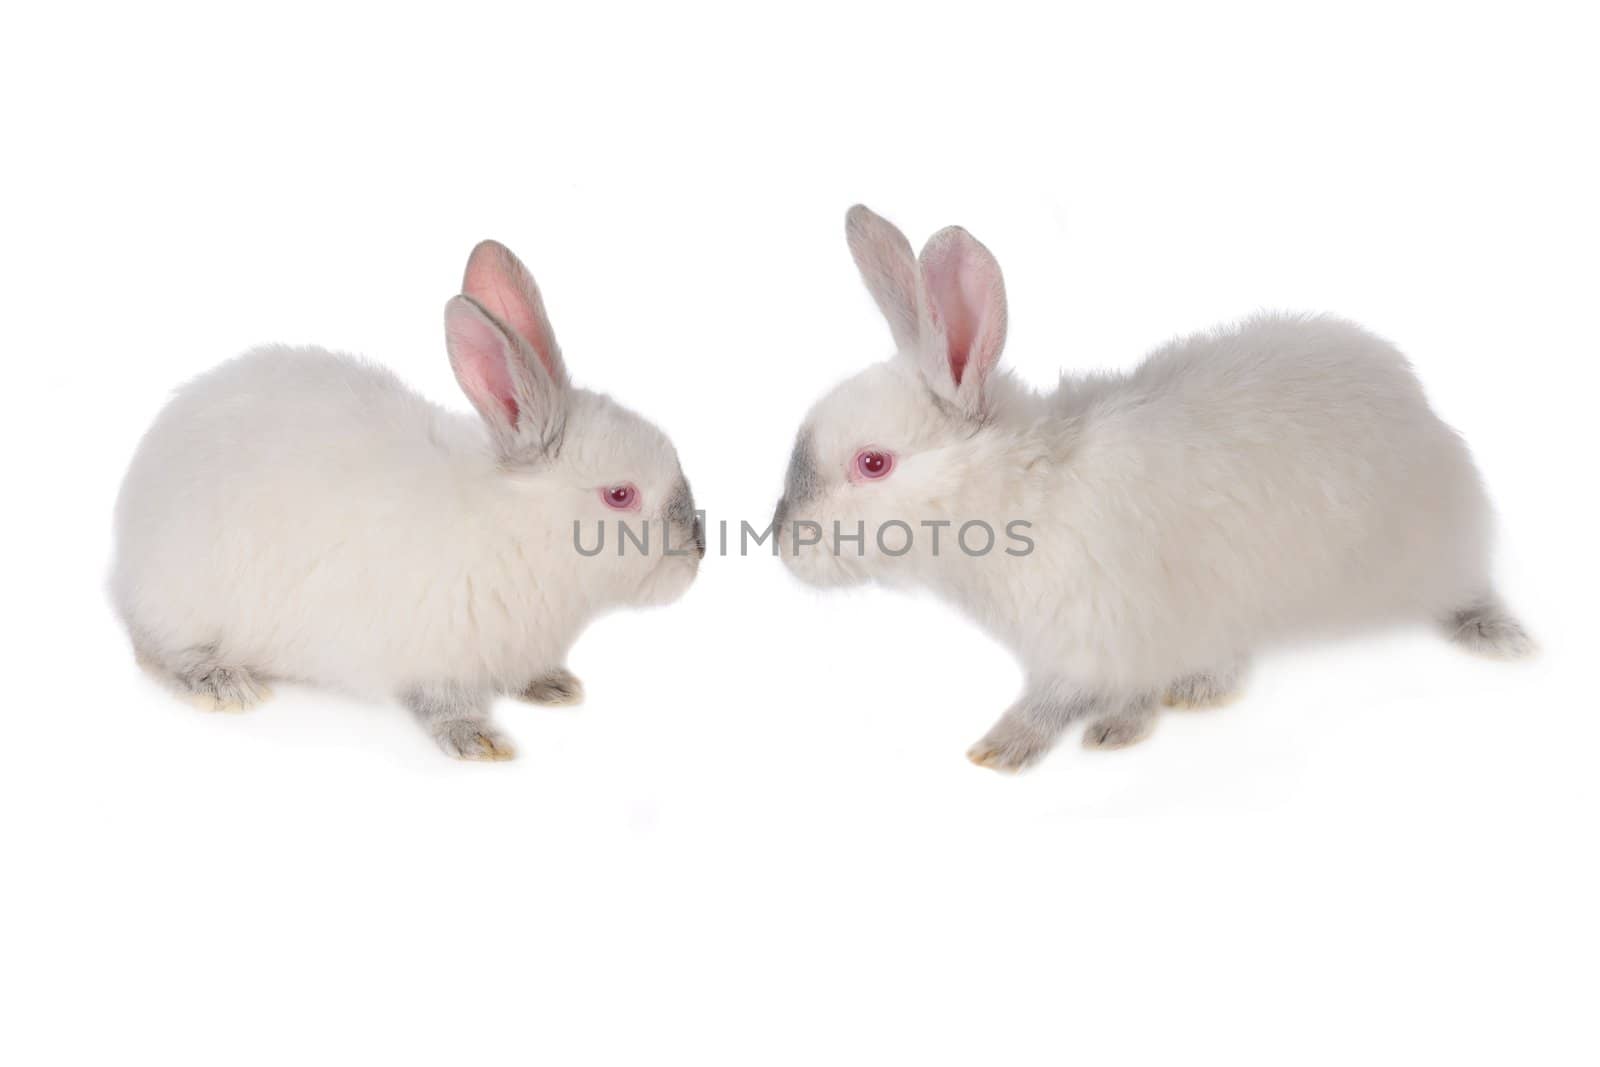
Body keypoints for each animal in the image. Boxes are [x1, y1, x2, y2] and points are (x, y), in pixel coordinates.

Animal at [112, 239, 700, 758]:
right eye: (620, 495)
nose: (695, 554)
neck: (521, 531)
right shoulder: (435, 655)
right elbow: (443, 703)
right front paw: (479, 741)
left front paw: (553, 687)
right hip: (187, 599)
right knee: (156, 651)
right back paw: (223, 684)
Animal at [777, 204, 1536, 771]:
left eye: (873, 464)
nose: (783, 547)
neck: (1020, 489)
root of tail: (1425, 415)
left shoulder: (1095, 635)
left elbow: (1062, 700)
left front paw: (1011, 747)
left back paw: (1501, 638)